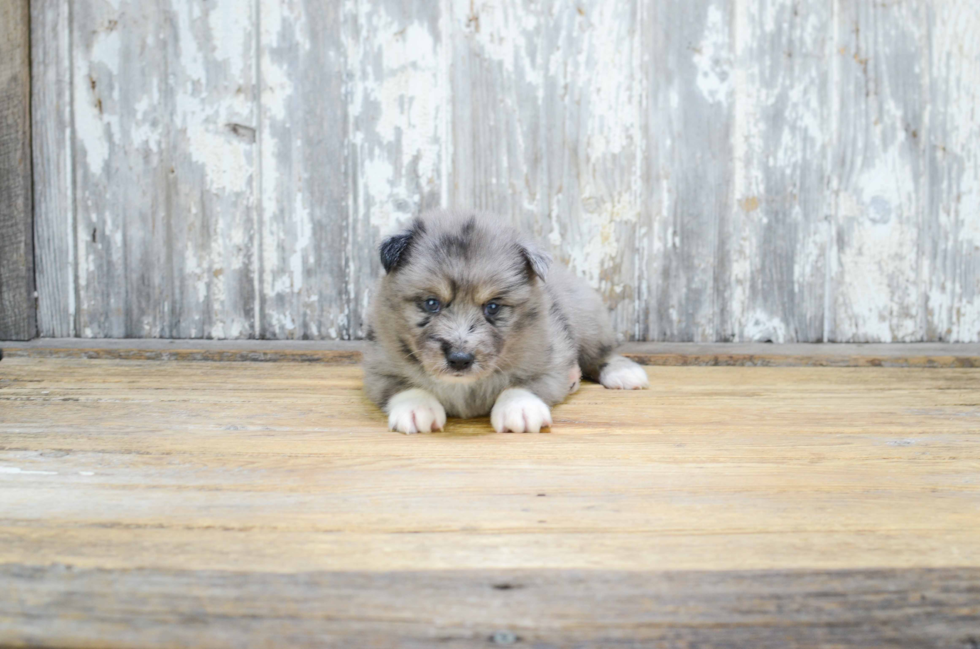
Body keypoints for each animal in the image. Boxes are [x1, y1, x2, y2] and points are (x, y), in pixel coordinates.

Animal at [364, 208, 648, 432]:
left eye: (492, 307)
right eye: (432, 303)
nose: (460, 359)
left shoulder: (547, 363)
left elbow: (523, 385)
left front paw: (520, 409)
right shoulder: (380, 367)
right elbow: (405, 387)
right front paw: (417, 410)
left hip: (588, 322)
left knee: (602, 354)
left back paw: (624, 373)